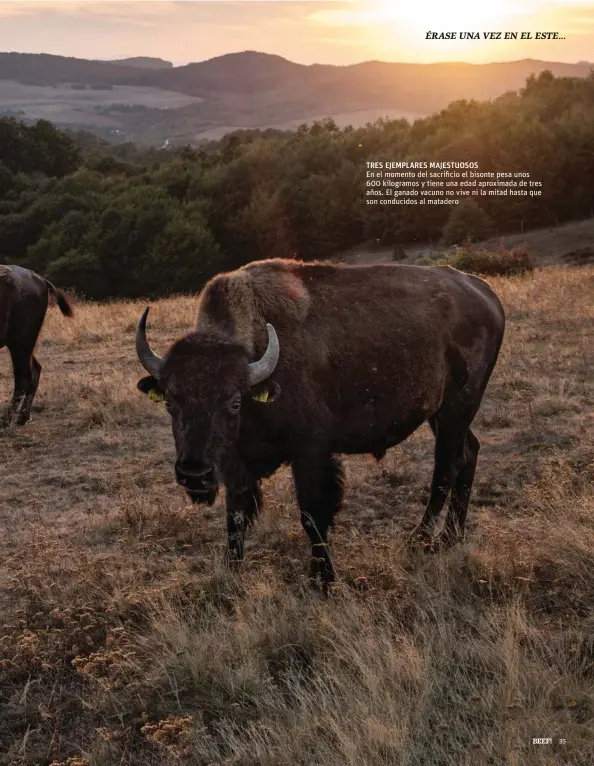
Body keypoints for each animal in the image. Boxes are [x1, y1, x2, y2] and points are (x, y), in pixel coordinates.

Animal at [0, 268, 74, 428]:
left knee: (23, 376)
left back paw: (8, 419)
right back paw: (23, 417)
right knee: (35, 369)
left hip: (20, 343)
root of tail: (40, 279)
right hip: (24, 346)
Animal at [135, 260, 504, 592]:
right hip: (440, 415)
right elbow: (235, 517)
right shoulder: (236, 464)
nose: (193, 473)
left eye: (234, 402)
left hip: (456, 408)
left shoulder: (310, 452)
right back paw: (451, 537)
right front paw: (230, 573)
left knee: (446, 468)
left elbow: (312, 514)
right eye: (170, 402)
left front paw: (324, 579)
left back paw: (421, 541)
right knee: (469, 452)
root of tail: (484, 292)